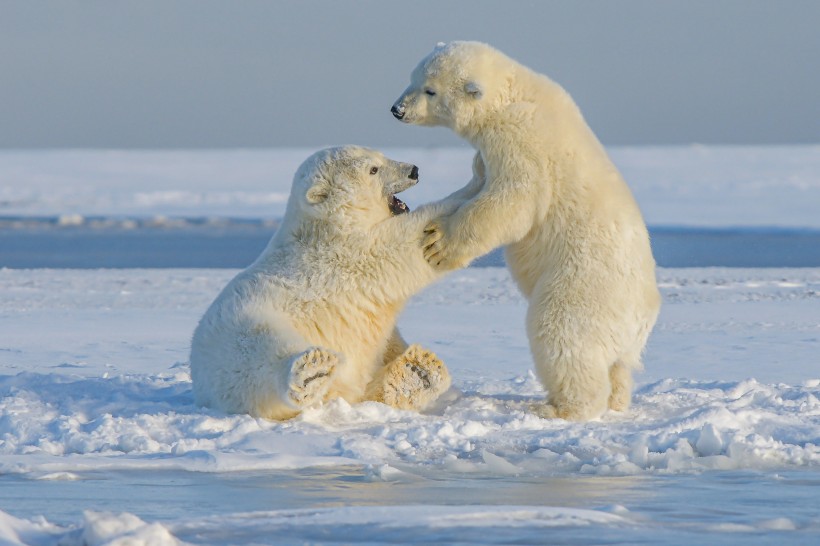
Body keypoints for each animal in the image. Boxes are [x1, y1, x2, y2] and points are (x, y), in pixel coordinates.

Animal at [190, 147, 452, 418]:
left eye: (381, 155)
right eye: (373, 169)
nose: (413, 170)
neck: (324, 226)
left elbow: (386, 338)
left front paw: (416, 370)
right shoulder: (345, 255)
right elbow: (398, 247)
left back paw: (418, 371)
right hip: (242, 330)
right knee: (260, 353)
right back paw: (311, 372)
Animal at [390, 41, 660, 420]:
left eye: (430, 90)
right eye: (413, 78)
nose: (397, 110)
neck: (514, 93)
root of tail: (642, 318)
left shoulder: (521, 140)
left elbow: (513, 199)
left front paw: (439, 244)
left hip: (582, 287)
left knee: (561, 335)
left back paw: (559, 408)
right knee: (618, 365)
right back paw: (617, 400)